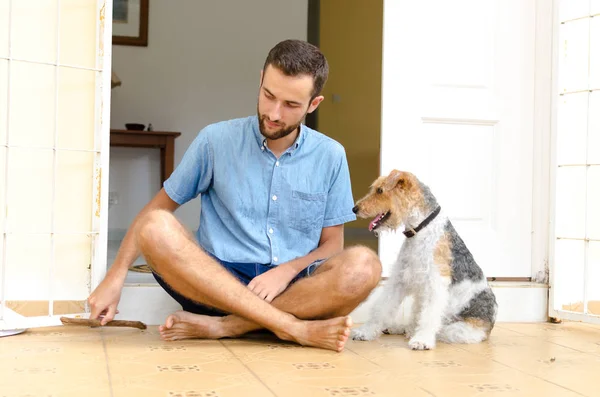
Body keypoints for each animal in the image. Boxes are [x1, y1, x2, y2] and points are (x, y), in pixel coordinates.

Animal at [350, 169, 500, 348]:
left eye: (380, 190)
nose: (355, 209)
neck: (422, 228)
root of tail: (491, 324)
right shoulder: (399, 278)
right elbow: (382, 307)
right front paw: (364, 332)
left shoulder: (435, 282)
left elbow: (429, 315)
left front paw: (421, 341)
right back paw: (399, 328)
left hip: (462, 330)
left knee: (441, 329)